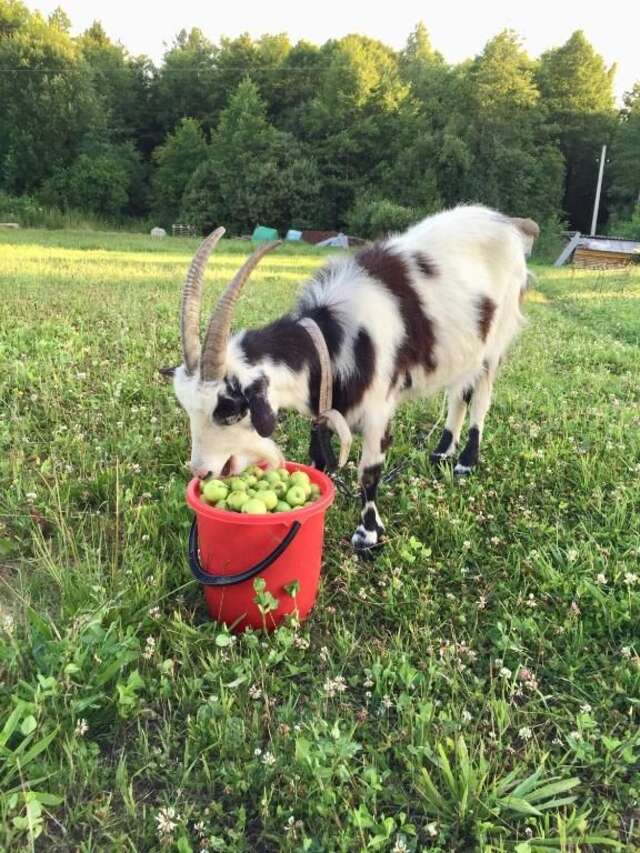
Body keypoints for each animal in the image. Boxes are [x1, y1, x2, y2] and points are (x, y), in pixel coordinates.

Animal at [160, 206, 536, 552]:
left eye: (229, 409)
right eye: (188, 408)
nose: (202, 472)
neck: (334, 340)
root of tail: (507, 222)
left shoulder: (378, 410)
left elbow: (369, 473)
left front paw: (367, 534)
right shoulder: (325, 408)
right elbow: (318, 457)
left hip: (495, 341)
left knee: (481, 396)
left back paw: (465, 462)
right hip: (463, 347)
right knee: (458, 393)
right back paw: (442, 452)